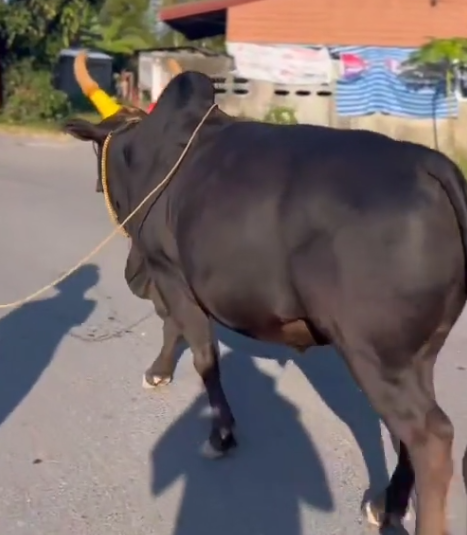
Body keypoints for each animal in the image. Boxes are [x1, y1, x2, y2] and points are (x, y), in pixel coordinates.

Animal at [65, 64, 467, 535]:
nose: (96, 186)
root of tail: (430, 163)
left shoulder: (169, 272)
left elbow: (202, 354)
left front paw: (220, 435)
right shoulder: (171, 277)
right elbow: (175, 330)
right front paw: (161, 372)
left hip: (375, 354)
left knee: (431, 437)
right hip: (416, 353)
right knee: (410, 431)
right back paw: (388, 503)